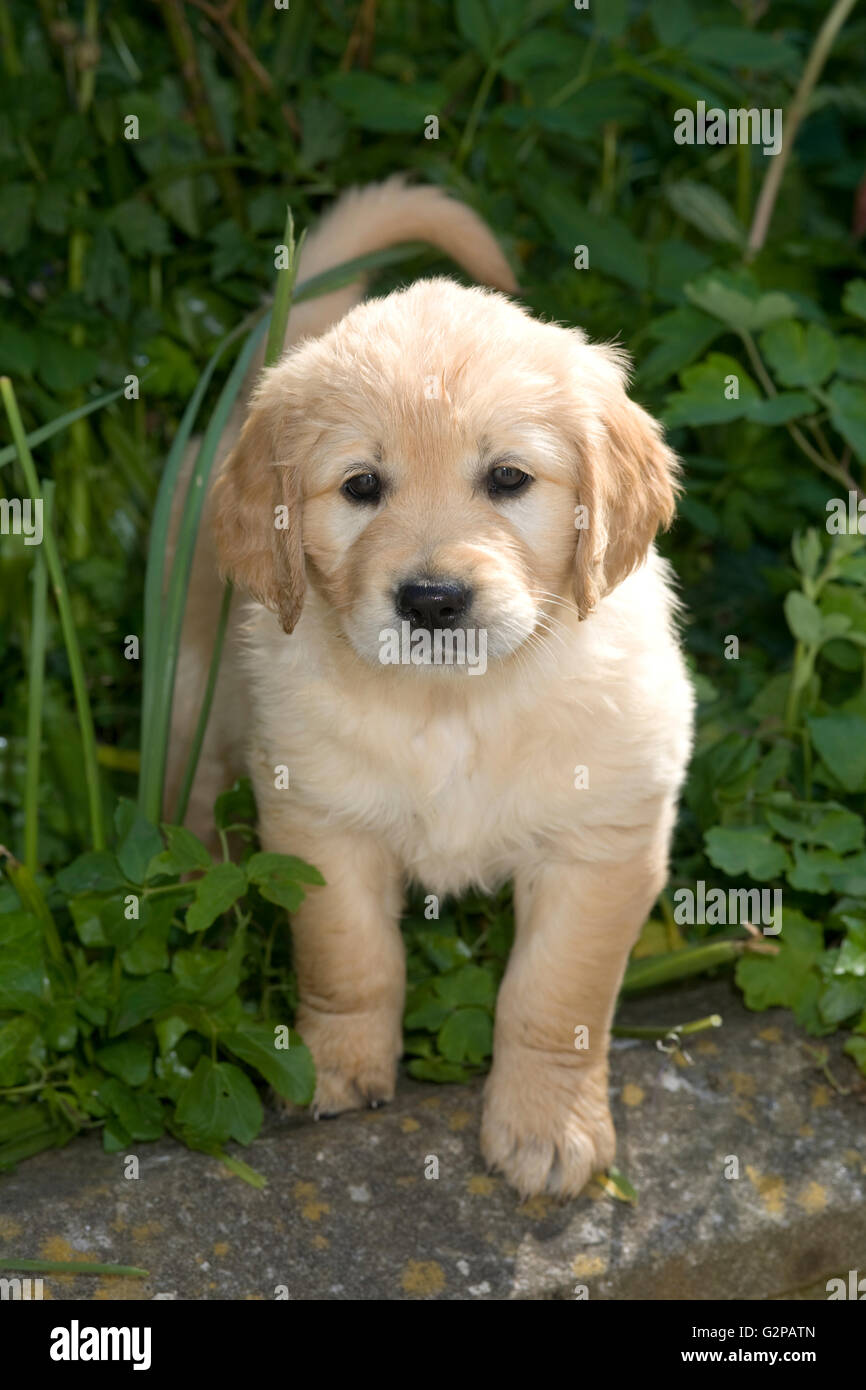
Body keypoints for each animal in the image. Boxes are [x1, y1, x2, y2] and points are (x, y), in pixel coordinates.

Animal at [170, 179, 697, 1200]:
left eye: (509, 478)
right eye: (360, 486)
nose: (433, 599)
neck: (457, 706)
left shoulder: (602, 841)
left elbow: (555, 999)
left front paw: (548, 1128)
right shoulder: (321, 823)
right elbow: (350, 961)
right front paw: (336, 1072)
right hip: (189, 671)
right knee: (193, 774)